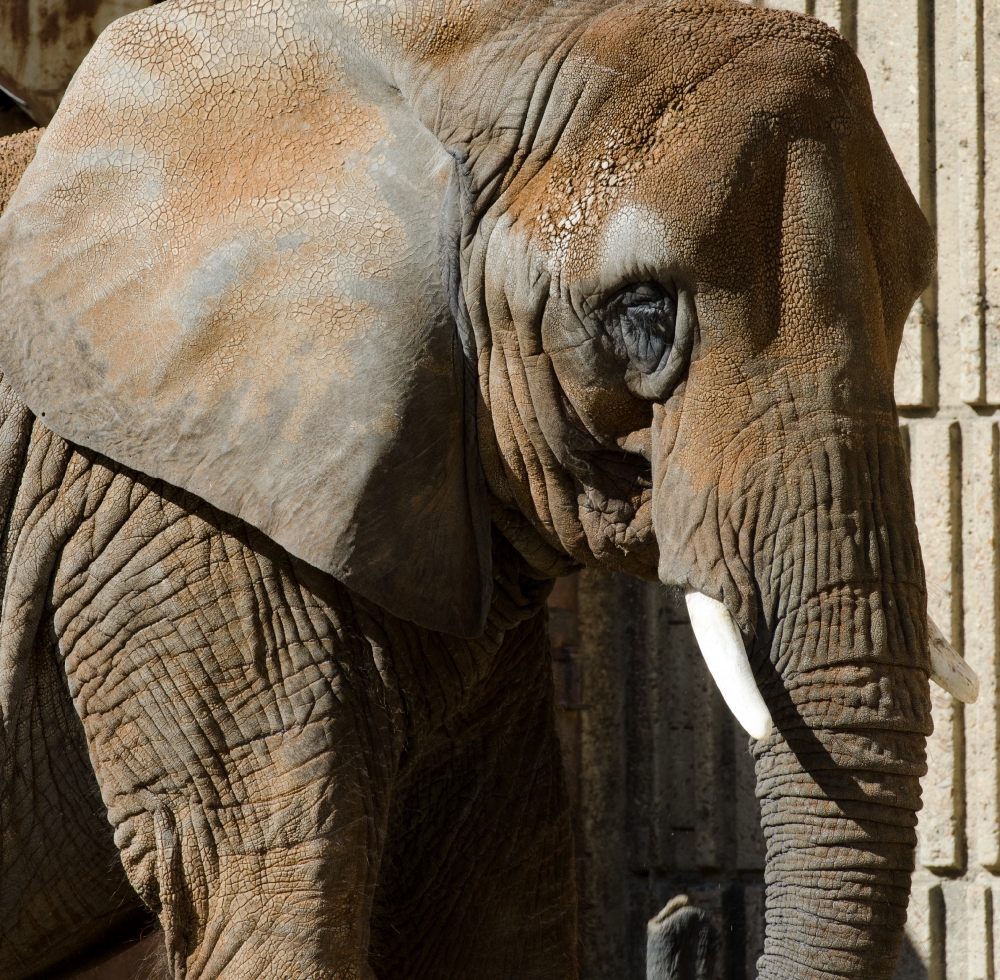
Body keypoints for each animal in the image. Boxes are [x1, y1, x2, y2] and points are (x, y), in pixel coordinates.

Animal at [0, 0, 976, 976]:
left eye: (908, 302)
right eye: (645, 314)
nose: (683, 919)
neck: (452, 44)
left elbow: (494, 917)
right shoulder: (170, 524)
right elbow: (269, 904)